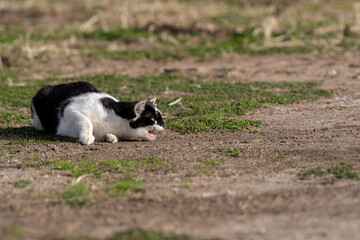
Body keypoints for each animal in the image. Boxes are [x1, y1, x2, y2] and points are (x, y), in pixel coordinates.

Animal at [30, 81, 165, 144]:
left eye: (160, 118)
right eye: (153, 119)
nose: (163, 125)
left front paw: (111, 137)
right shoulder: (69, 109)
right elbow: (86, 122)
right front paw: (87, 137)